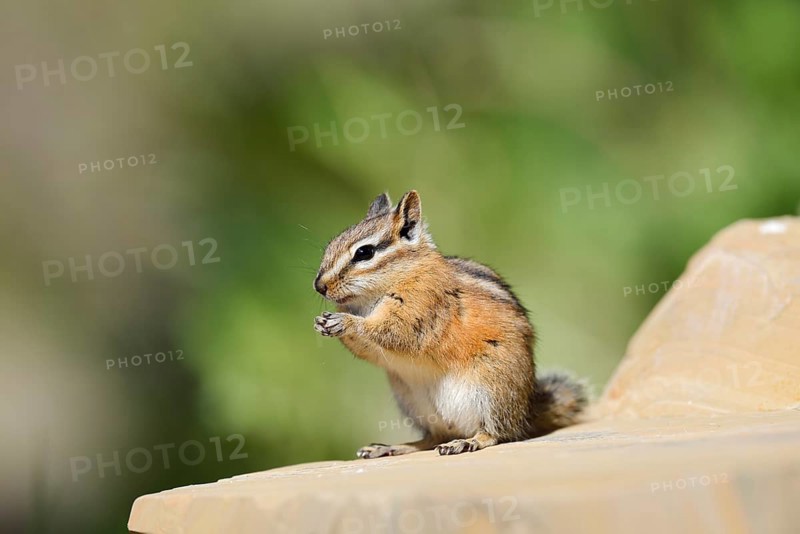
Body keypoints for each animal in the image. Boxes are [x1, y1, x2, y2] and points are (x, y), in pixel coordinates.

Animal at [313, 190, 588, 458]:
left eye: (364, 252)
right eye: (331, 245)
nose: (319, 286)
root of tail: (526, 412)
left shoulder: (421, 308)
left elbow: (395, 333)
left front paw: (345, 322)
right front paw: (322, 323)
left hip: (491, 391)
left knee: (496, 433)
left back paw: (467, 442)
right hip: (414, 403)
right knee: (431, 438)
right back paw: (390, 447)